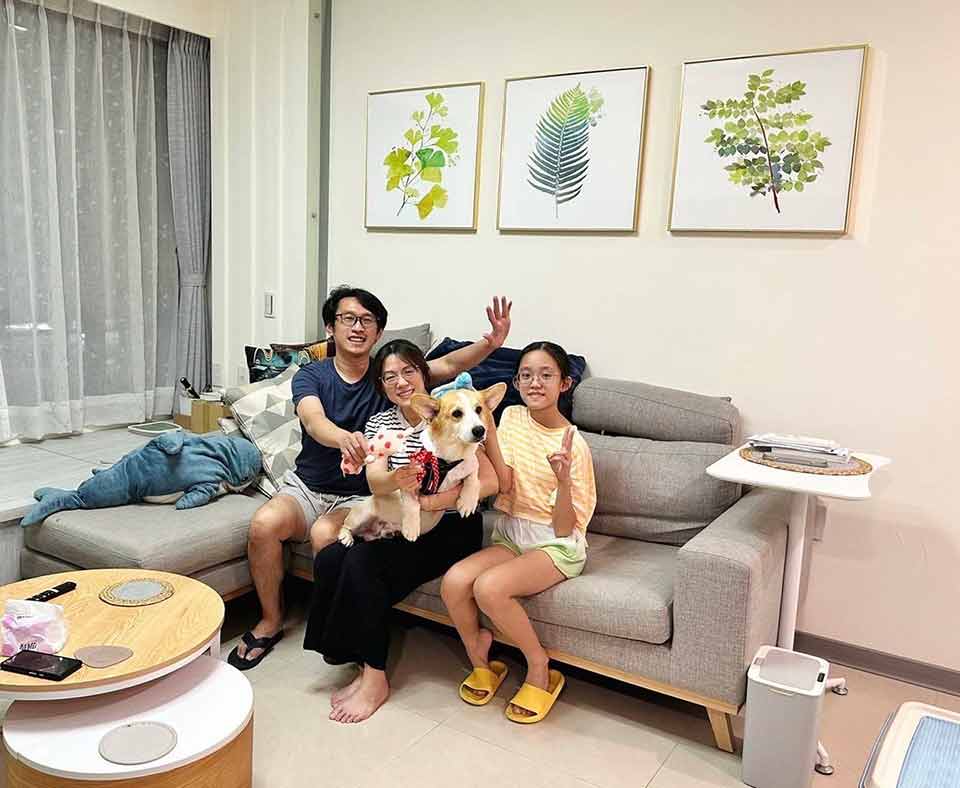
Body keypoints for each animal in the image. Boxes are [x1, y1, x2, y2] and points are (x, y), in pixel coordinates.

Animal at [338, 377, 507, 547]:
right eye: (457, 413)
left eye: (479, 410)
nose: (480, 430)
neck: (447, 460)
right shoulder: (408, 483)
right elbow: (412, 505)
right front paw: (411, 528)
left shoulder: (471, 465)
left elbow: (473, 480)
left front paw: (467, 502)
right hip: (361, 514)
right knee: (346, 525)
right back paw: (346, 536)